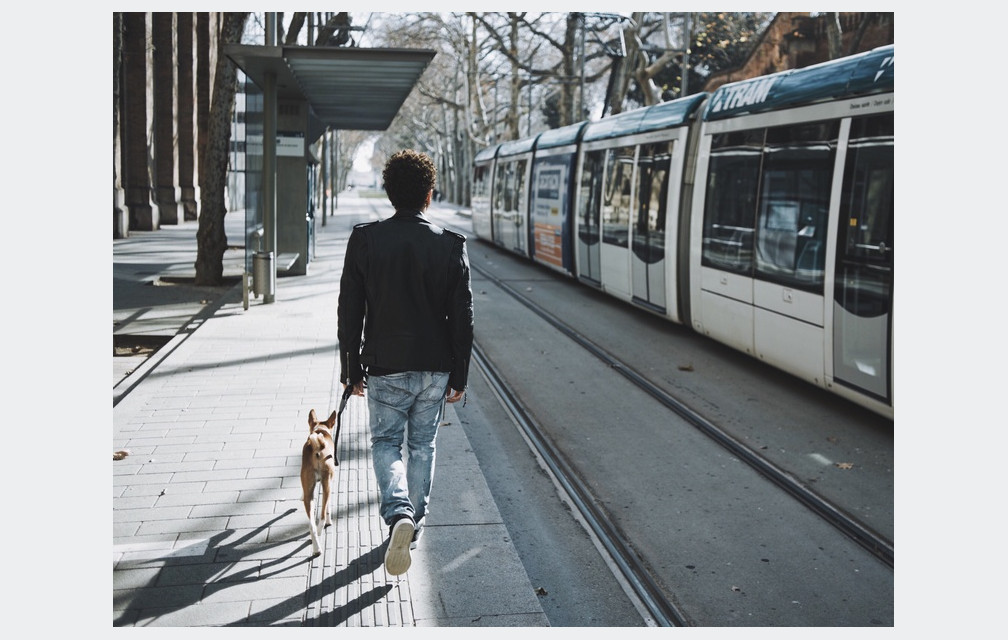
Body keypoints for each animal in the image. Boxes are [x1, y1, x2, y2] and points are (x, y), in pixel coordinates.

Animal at [300, 411, 340, 556]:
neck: (321, 429)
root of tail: (317, 446)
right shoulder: (329, 483)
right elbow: (327, 507)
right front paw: (330, 520)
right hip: (326, 483)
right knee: (321, 516)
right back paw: (319, 535)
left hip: (309, 493)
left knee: (311, 524)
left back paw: (316, 548)